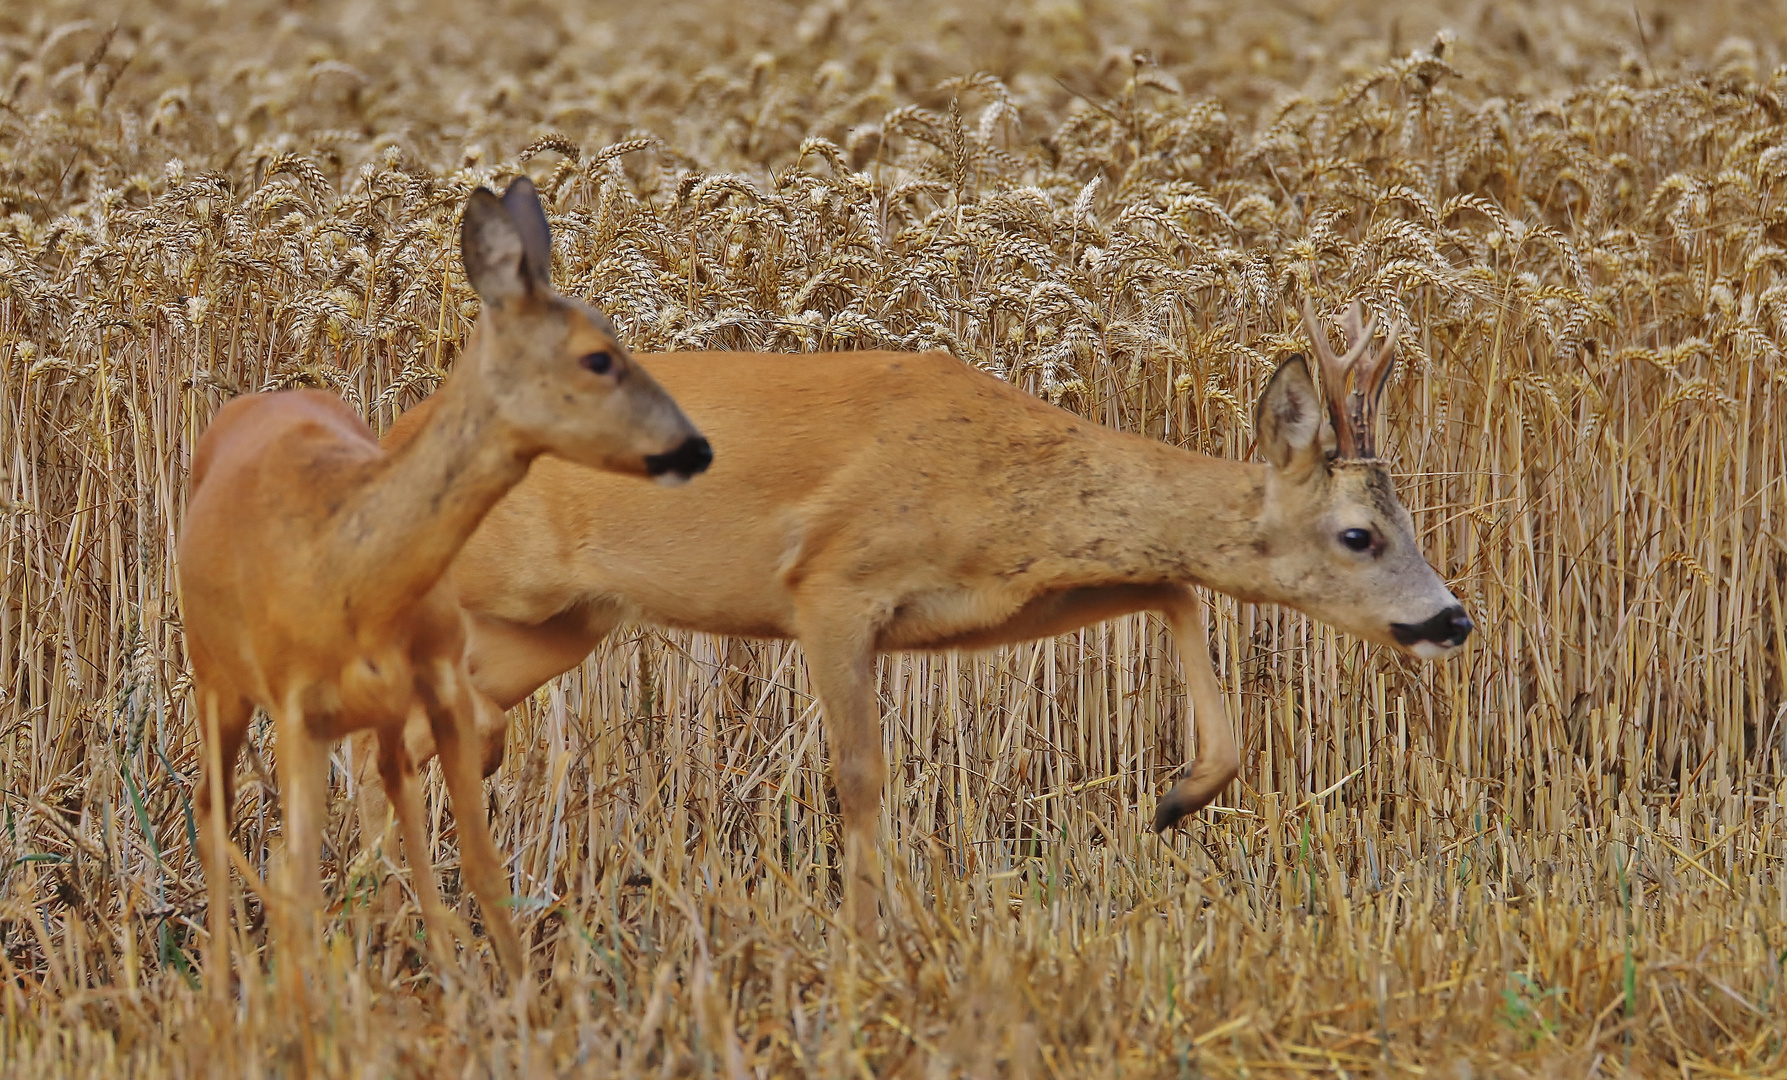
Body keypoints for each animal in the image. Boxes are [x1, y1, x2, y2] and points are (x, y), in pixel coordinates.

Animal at [179, 179, 711, 994]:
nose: (695, 446)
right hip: (218, 681)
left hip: (377, 711)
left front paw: (512, 995)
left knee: (391, 788)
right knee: (215, 809)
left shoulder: (442, 684)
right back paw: (219, 984)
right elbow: (297, 882)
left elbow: (483, 865)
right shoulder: (299, 709)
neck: (354, 576)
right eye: (596, 358)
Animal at [373, 295, 1465, 936]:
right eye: (1359, 535)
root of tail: (401, 426)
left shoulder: (998, 601)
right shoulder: (831, 586)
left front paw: (1178, 796)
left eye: (1407, 520)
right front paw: (867, 936)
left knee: (440, 734)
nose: (1451, 620)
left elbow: (1175, 586)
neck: (1004, 474)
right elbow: (859, 774)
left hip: (562, 623)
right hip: (488, 589)